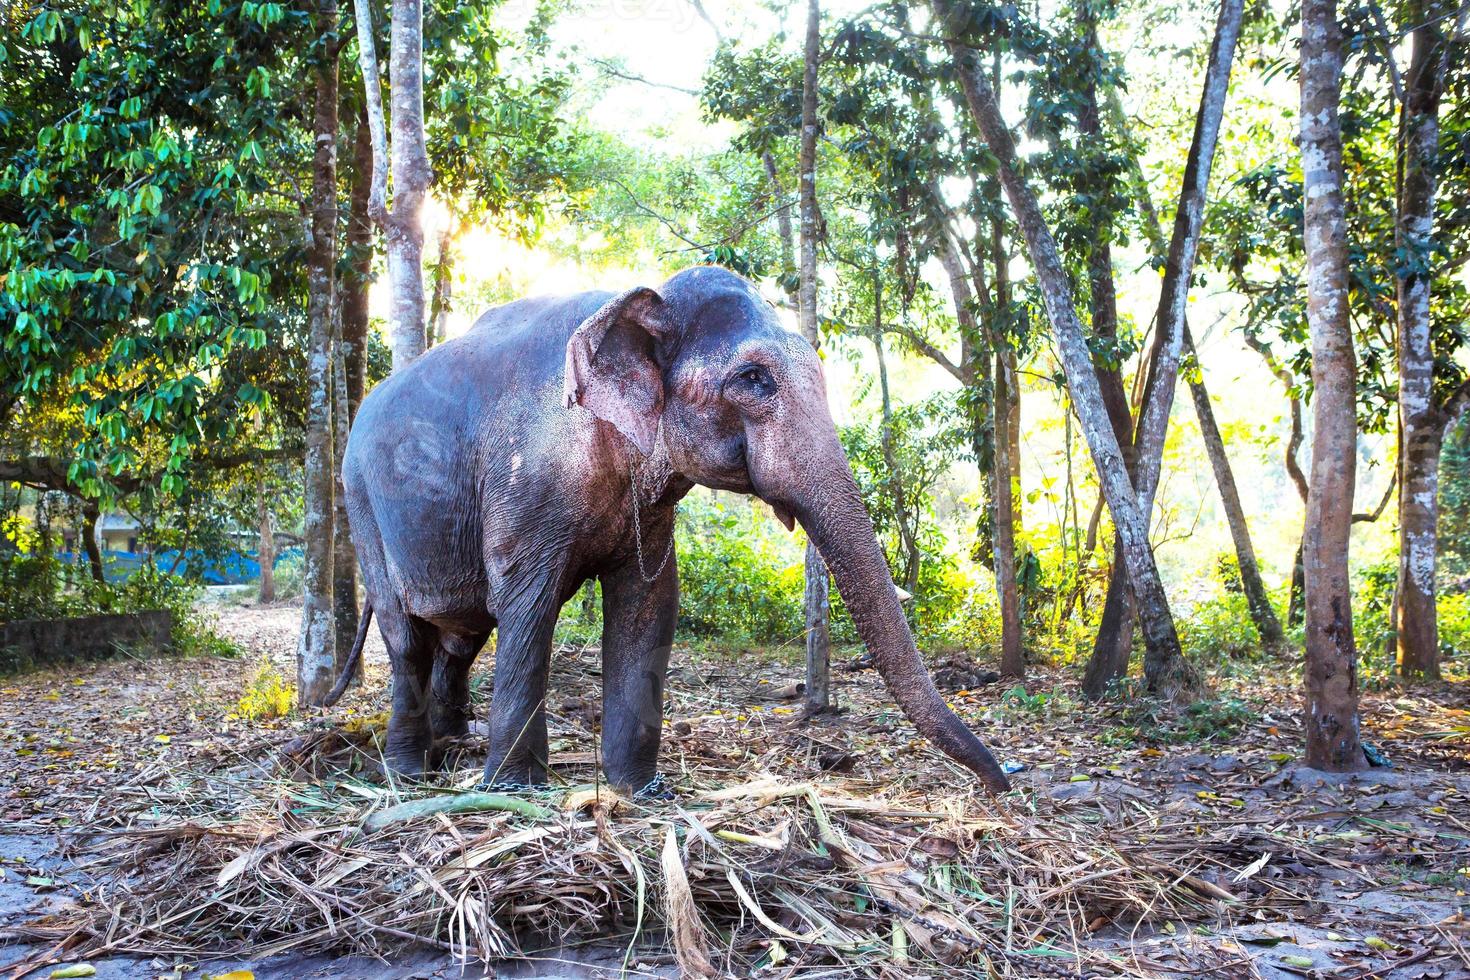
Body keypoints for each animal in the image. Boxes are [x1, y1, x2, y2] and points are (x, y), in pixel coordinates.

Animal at [327, 265, 1011, 799]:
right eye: (753, 379)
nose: (1002, 785)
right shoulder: (524, 484)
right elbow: (528, 606)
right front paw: (514, 791)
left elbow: (649, 603)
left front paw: (640, 790)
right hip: (360, 503)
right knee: (407, 635)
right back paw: (409, 772)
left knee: (460, 637)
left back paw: (455, 747)